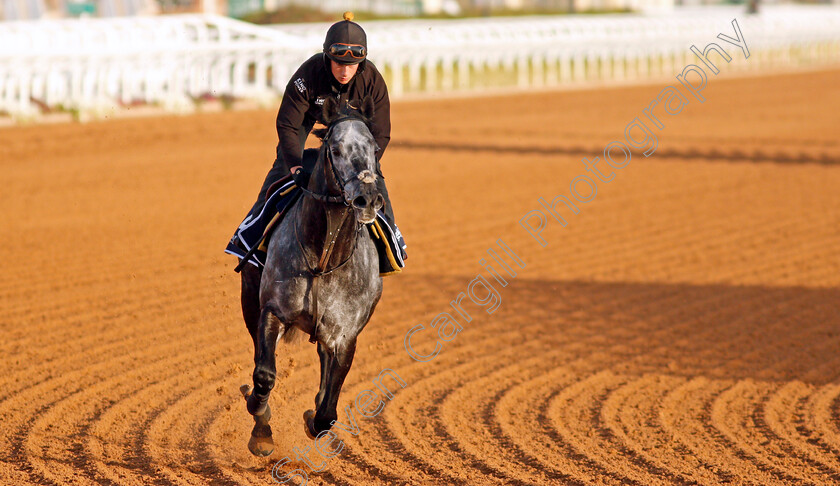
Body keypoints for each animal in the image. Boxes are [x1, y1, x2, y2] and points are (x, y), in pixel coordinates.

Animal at [240, 95, 384, 456]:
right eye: (335, 148)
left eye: (374, 148)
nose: (367, 198)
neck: (323, 258)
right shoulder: (273, 310)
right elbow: (264, 374)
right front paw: (261, 427)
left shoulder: (345, 336)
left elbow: (326, 413)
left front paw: (314, 415)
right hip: (249, 299)